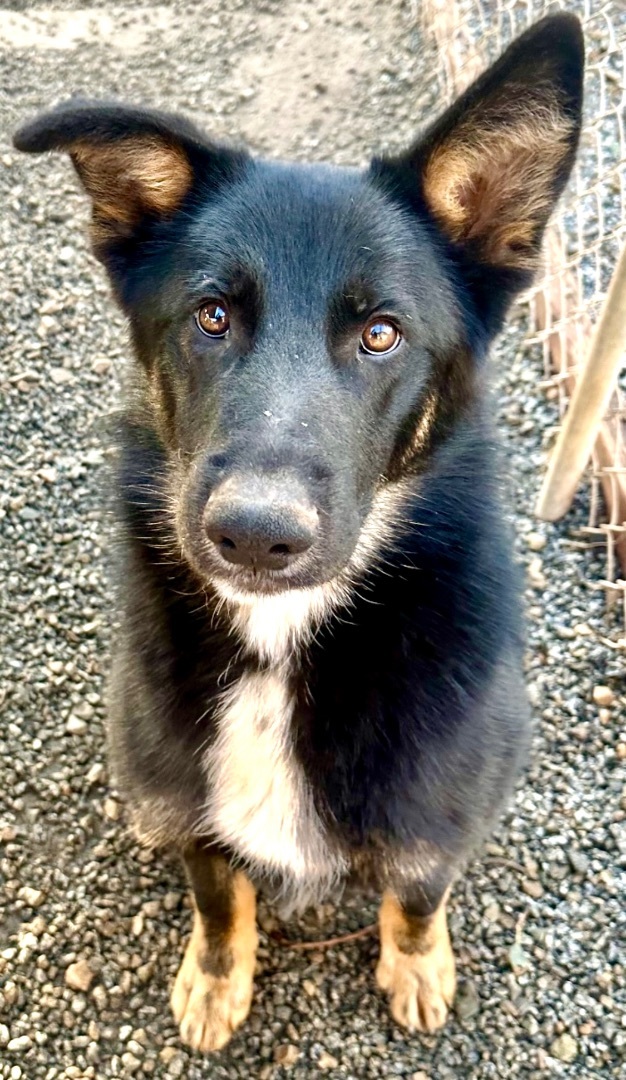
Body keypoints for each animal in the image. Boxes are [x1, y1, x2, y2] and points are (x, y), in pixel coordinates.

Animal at [13, 10, 582, 1054]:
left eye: (382, 333)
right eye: (211, 316)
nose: (255, 536)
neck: (282, 648)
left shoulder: (436, 815)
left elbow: (417, 892)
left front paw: (417, 963)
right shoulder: (193, 808)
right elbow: (216, 893)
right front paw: (215, 975)